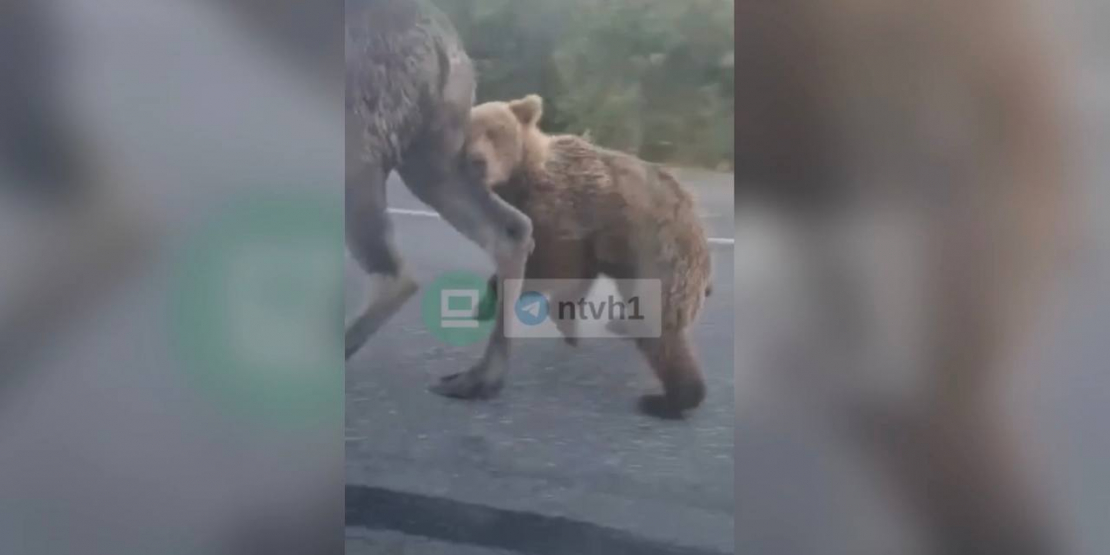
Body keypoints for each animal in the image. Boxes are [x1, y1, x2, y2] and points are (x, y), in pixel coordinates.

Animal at [457, 94, 713, 418]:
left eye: (494, 132)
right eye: (467, 135)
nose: (477, 162)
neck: (522, 179)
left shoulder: (564, 212)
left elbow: (555, 266)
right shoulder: (583, 237)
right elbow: (574, 275)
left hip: (661, 257)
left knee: (660, 327)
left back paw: (670, 398)